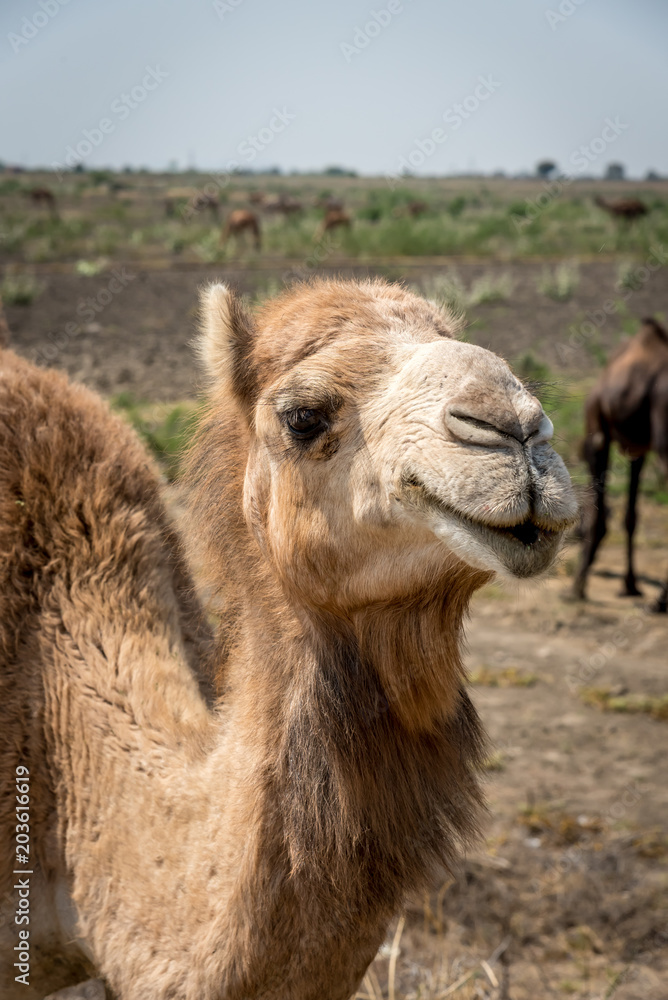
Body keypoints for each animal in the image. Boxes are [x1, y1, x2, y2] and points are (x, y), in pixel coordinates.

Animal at [573, 317, 668, 612]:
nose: (574, 534)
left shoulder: (598, 436)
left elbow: (600, 514)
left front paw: (578, 586)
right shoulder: (638, 450)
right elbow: (630, 516)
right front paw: (630, 585)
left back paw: (661, 600)